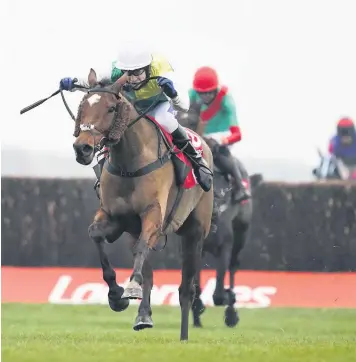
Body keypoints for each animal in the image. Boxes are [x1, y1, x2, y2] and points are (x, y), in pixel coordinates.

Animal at [71, 68, 213, 342]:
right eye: (83, 106)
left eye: (111, 108)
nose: (82, 148)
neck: (129, 164)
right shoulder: (115, 217)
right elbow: (96, 235)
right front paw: (116, 295)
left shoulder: (153, 215)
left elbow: (142, 252)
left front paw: (130, 289)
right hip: (134, 231)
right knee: (148, 270)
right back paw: (143, 317)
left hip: (195, 231)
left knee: (185, 289)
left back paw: (184, 337)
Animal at [178, 110, 256, 328]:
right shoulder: (194, 245)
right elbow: (194, 284)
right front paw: (196, 311)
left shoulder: (225, 245)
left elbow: (219, 293)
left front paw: (230, 305)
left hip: (242, 232)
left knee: (233, 266)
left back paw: (231, 310)